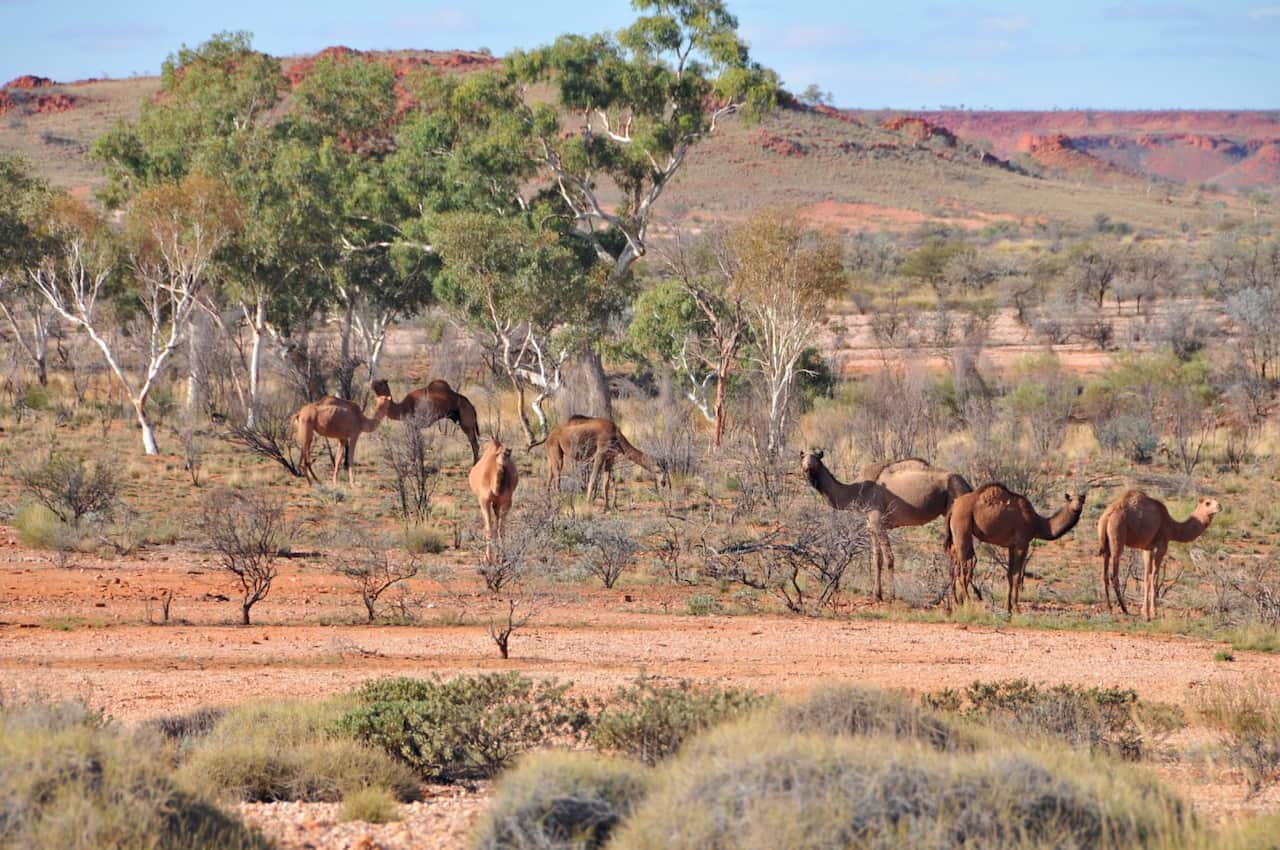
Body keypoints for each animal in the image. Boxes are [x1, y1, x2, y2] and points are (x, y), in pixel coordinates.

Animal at [534, 416, 669, 509]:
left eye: (666, 470)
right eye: (659, 470)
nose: (663, 483)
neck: (616, 436)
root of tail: (549, 435)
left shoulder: (609, 459)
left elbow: (606, 483)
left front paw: (607, 508)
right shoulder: (600, 455)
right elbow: (593, 480)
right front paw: (588, 503)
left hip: (551, 454)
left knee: (549, 478)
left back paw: (549, 504)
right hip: (557, 451)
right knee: (557, 480)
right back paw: (560, 502)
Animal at [801, 452, 973, 602]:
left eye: (815, 458)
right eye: (802, 457)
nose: (807, 466)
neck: (858, 490)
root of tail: (967, 484)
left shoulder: (879, 521)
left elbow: (889, 558)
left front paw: (892, 595)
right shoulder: (871, 525)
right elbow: (877, 558)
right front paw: (876, 594)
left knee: (964, 556)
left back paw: (963, 598)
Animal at [946, 483, 1087, 613]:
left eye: (1081, 500)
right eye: (1071, 500)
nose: (1076, 508)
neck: (1037, 523)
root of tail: (953, 507)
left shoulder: (1012, 546)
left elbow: (1009, 574)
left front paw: (1008, 608)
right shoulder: (1022, 544)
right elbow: (1017, 575)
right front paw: (1017, 608)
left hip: (958, 535)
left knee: (955, 565)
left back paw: (955, 604)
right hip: (962, 527)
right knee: (963, 570)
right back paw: (967, 603)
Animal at [1097, 489, 1221, 620]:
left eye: (1216, 500)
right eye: (1207, 503)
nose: (1219, 506)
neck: (1172, 527)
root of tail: (1107, 516)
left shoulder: (1148, 548)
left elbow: (1147, 576)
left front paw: (1145, 611)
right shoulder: (1162, 544)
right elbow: (1155, 576)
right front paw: (1152, 612)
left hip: (1105, 542)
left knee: (1105, 573)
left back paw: (1110, 608)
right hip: (1117, 535)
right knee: (1114, 574)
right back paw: (1124, 609)